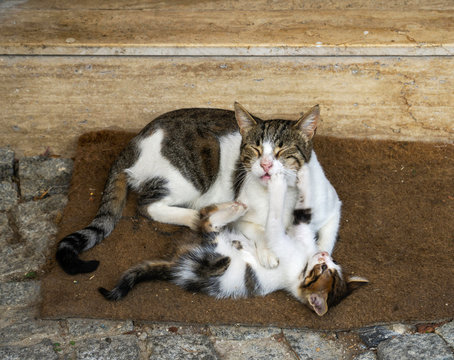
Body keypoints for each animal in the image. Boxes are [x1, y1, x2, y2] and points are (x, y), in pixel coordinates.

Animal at [55, 102, 340, 274]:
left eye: (283, 151)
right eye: (254, 149)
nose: (266, 165)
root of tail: (134, 142)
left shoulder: (334, 206)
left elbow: (326, 239)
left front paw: (319, 258)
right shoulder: (247, 218)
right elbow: (260, 231)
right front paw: (270, 251)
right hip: (197, 170)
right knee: (151, 206)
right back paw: (216, 214)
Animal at [98, 169, 366, 316]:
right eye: (329, 266)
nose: (324, 256)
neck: (302, 265)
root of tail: (174, 265)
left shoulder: (280, 240)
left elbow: (275, 218)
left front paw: (278, 182)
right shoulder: (301, 230)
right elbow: (304, 209)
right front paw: (299, 175)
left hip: (213, 259)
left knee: (206, 224)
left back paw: (235, 211)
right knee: (205, 217)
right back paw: (235, 208)